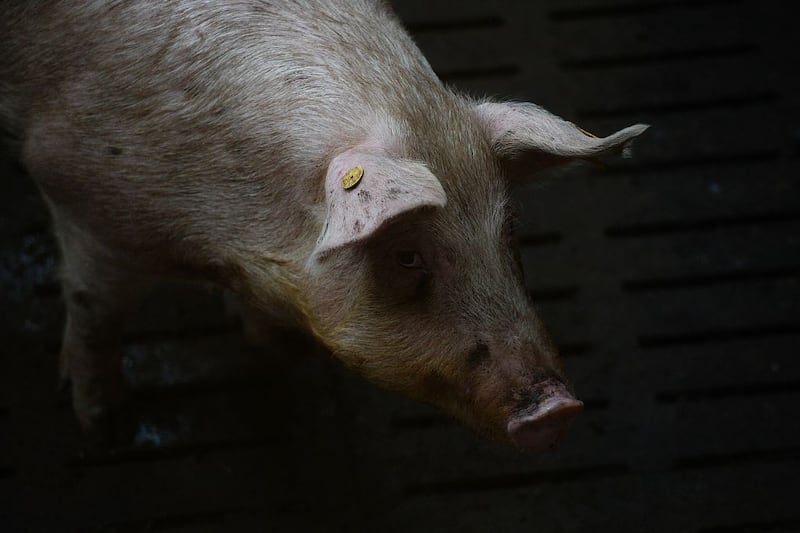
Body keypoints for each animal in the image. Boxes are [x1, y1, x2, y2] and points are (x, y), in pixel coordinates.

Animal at [0, 0, 648, 450]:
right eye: (408, 255)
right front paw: (106, 430)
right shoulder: (79, 193)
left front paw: (266, 347)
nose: (558, 408)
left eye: (510, 231)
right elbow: (95, 314)